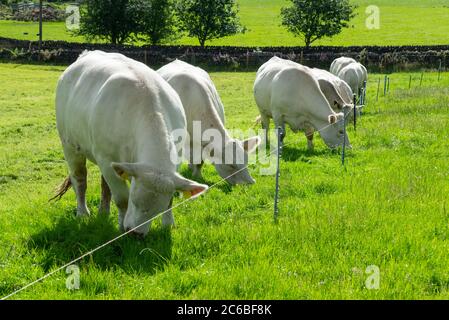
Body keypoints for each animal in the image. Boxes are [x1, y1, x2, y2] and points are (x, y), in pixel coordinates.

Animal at [55, 51, 207, 236]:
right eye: (135, 201)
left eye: (157, 211)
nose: (136, 234)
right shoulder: (106, 159)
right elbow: (121, 198)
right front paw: (121, 227)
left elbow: (170, 200)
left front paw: (168, 224)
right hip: (69, 144)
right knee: (80, 179)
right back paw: (83, 213)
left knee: (104, 185)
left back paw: (103, 212)